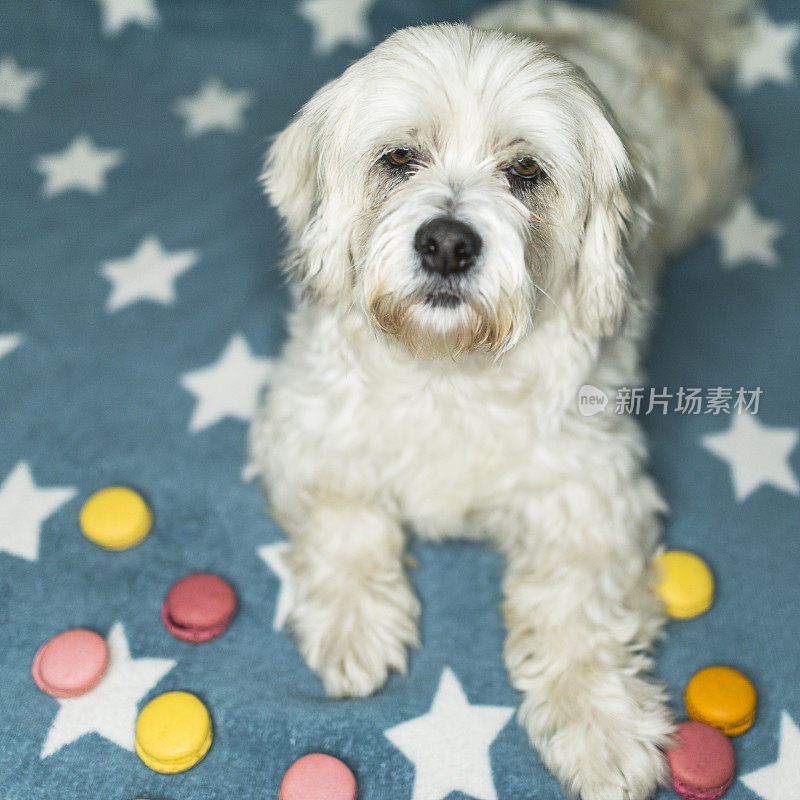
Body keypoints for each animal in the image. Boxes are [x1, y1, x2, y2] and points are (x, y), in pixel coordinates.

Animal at [248, 3, 752, 796]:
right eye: (399, 159)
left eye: (525, 172)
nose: (448, 243)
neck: (449, 370)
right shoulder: (299, 428)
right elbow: (346, 518)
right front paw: (354, 621)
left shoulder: (592, 495)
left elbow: (576, 609)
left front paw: (599, 722)